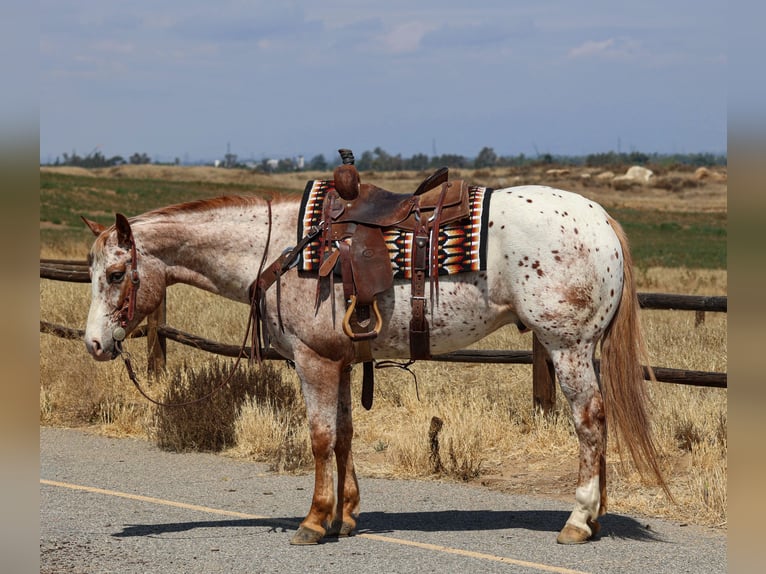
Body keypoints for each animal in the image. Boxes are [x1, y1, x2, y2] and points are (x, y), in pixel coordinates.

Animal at [82, 183, 667, 546]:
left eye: (115, 274)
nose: (93, 344)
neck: (278, 251)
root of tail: (601, 219)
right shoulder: (340, 362)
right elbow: (344, 435)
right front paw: (346, 516)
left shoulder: (313, 362)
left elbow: (320, 438)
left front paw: (315, 521)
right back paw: (596, 517)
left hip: (567, 346)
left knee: (589, 422)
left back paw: (578, 520)